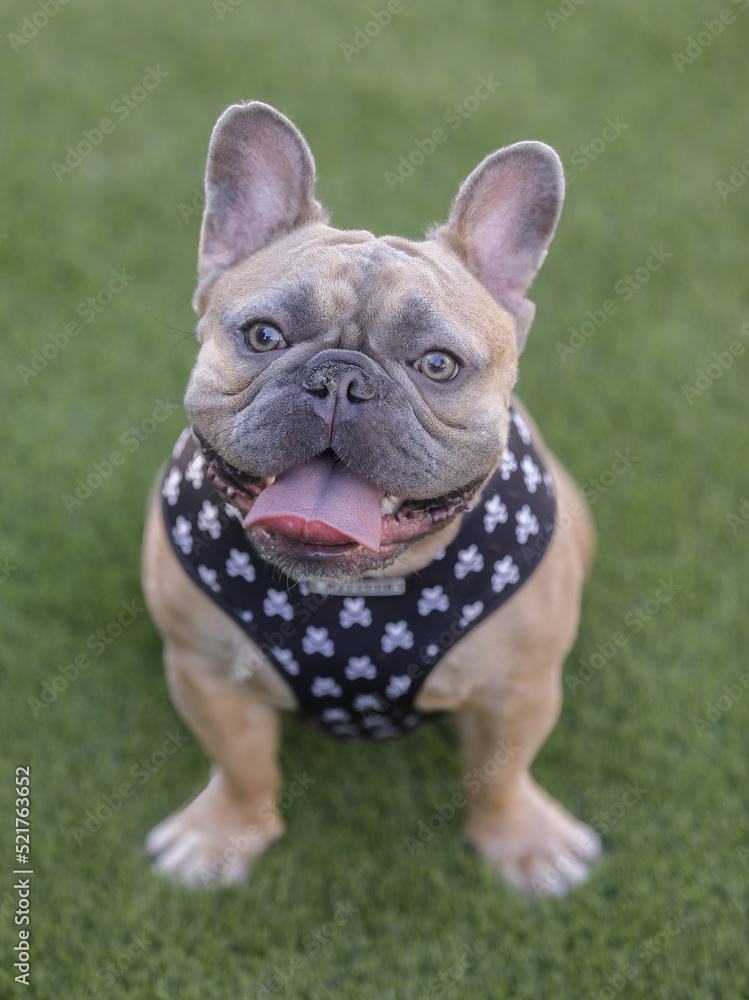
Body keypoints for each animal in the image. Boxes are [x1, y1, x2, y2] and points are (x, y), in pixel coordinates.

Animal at [140, 103, 600, 900]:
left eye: (438, 365)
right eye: (263, 335)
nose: (341, 378)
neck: (357, 594)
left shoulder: (518, 689)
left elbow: (502, 774)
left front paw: (521, 843)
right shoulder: (205, 673)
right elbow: (242, 764)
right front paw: (225, 834)